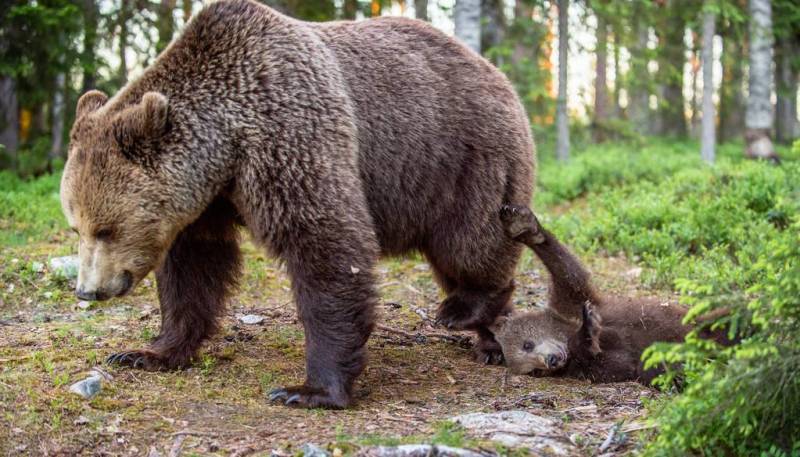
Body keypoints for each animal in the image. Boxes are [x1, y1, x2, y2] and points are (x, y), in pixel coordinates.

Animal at [61, 0, 536, 406]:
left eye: (106, 228)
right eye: (77, 226)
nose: (89, 290)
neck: (226, 149)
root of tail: (496, 71)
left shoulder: (288, 136)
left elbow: (324, 246)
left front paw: (310, 389)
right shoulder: (204, 202)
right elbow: (193, 270)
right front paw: (147, 352)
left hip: (463, 159)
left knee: (470, 244)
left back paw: (467, 310)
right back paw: (493, 341)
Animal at [490, 205, 728, 382]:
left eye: (527, 344)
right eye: (533, 371)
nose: (551, 361)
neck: (566, 328)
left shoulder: (572, 300)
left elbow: (569, 273)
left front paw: (522, 226)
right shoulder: (589, 367)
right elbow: (618, 363)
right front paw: (589, 331)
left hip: (705, 323)